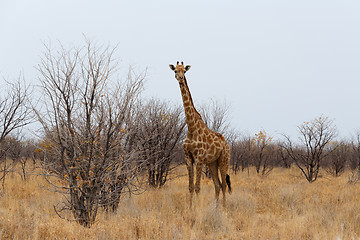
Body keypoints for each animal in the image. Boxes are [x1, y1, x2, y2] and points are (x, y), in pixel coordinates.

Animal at [168, 60, 231, 206]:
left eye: (184, 71)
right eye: (175, 70)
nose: (180, 78)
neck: (191, 128)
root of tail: (226, 144)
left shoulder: (199, 158)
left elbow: (197, 187)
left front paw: (196, 208)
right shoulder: (188, 158)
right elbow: (190, 187)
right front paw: (190, 208)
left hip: (224, 159)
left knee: (224, 185)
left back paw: (225, 208)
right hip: (212, 163)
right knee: (217, 185)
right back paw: (216, 208)